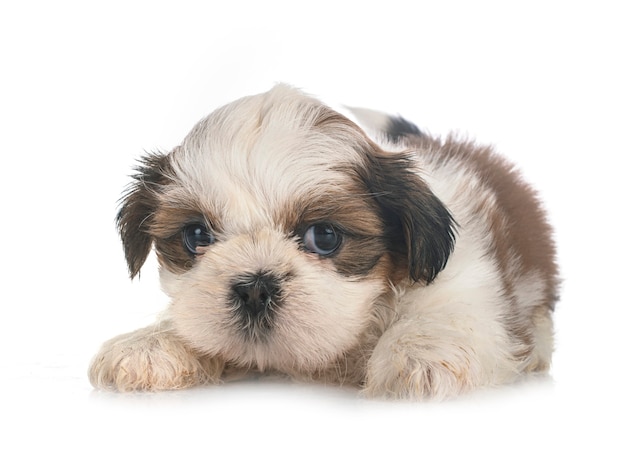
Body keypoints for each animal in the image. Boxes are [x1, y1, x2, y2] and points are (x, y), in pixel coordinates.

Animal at [86, 83, 556, 398]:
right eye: (197, 235)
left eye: (325, 236)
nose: (254, 288)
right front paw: (149, 344)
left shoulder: (470, 282)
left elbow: (448, 314)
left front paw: (421, 351)